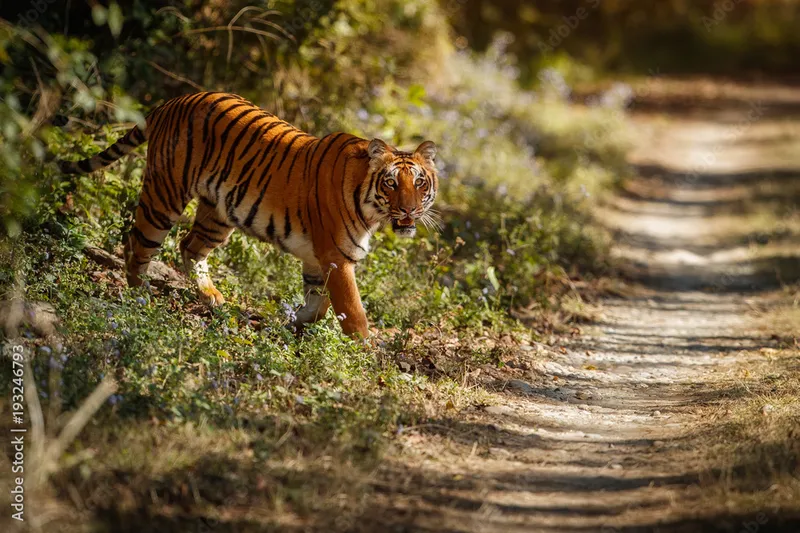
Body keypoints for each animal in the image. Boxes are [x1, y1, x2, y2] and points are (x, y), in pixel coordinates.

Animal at [59, 91, 440, 336]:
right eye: (391, 183)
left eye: (420, 183)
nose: (410, 209)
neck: (371, 210)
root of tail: (172, 101)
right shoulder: (337, 256)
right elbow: (353, 311)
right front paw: (364, 352)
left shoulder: (317, 259)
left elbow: (318, 304)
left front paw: (293, 326)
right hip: (165, 196)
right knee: (137, 245)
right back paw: (141, 299)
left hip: (218, 214)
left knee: (189, 246)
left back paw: (211, 297)